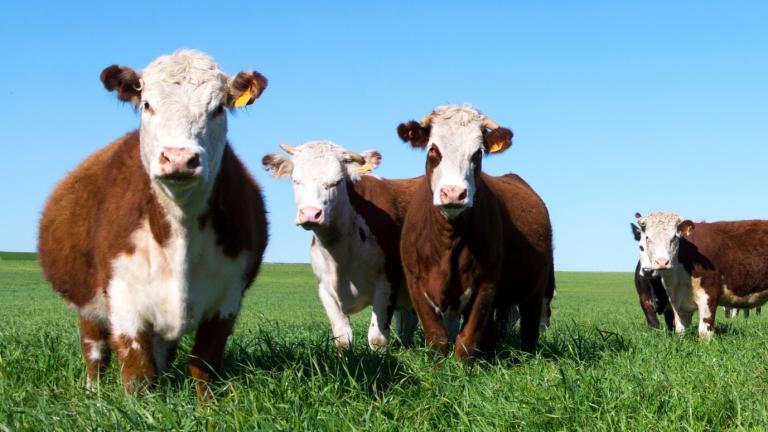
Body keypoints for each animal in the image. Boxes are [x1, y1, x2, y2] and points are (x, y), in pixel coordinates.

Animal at [38, 50, 268, 395]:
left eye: (218, 108)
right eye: (147, 104)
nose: (179, 158)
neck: (180, 229)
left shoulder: (227, 297)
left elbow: (204, 366)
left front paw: (207, 405)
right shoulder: (123, 298)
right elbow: (139, 376)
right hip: (88, 304)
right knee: (95, 351)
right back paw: (93, 394)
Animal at [262, 141, 419, 351]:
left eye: (337, 181)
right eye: (295, 180)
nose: (310, 214)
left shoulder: (388, 283)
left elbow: (377, 338)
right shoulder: (324, 289)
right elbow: (342, 338)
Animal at [396, 104, 554, 363]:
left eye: (477, 154)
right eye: (433, 150)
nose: (453, 193)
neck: (447, 240)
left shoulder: (485, 286)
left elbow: (467, 340)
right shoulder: (416, 284)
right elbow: (438, 338)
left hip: (536, 289)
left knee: (529, 330)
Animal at [634, 211, 768, 340]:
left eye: (674, 237)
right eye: (647, 237)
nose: (662, 262)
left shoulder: (709, 294)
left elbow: (704, 332)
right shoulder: (677, 301)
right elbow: (680, 331)